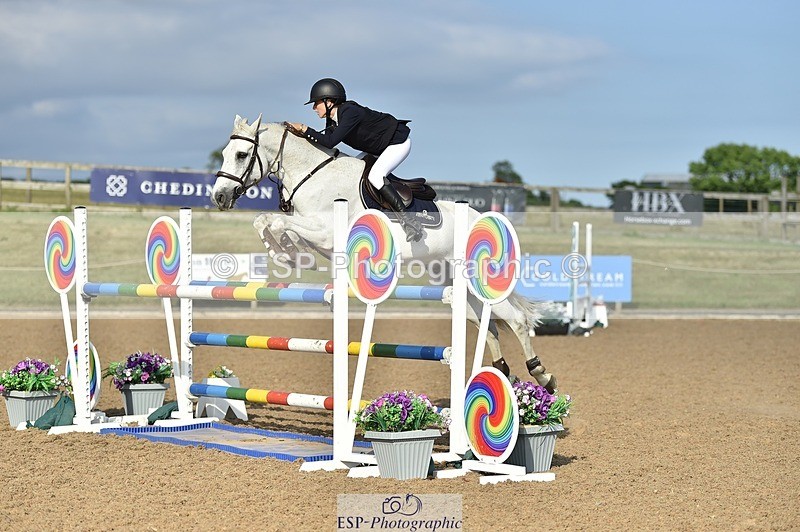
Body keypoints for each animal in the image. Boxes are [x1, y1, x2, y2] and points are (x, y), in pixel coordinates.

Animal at [211, 114, 557, 392]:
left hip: (477, 277)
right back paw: (504, 373)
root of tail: (483, 219)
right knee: (491, 325)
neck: (314, 174)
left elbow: (277, 221)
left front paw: (285, 254)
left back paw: (541, 375)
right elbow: (269, 222)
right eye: (225, 153)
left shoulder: (327, 231)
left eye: (241, 154)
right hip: (455, 284)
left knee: (516, 321)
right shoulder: (317, 236)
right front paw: (288, 254)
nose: (219, 197)